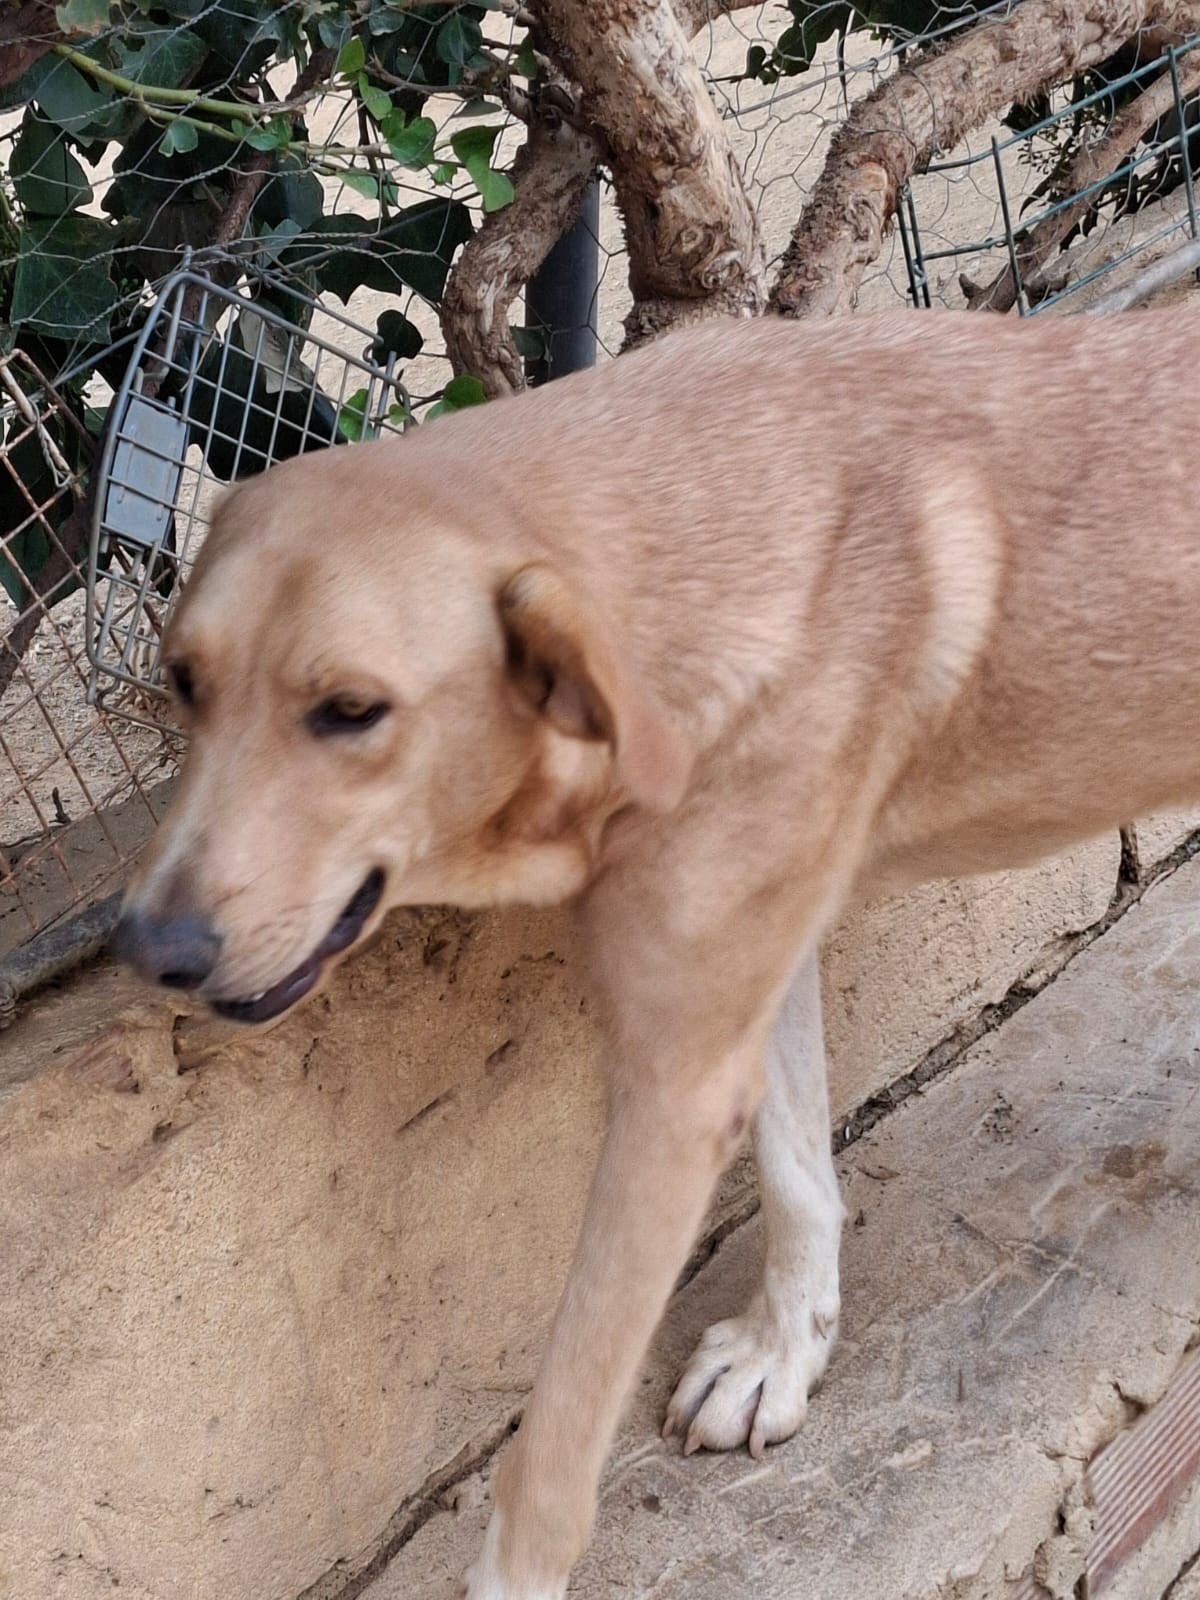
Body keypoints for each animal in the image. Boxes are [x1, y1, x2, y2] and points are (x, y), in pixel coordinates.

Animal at [113, 306, 1200, 1598]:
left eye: (352, 710)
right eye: (183, 682)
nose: (146, 947)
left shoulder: (670, 1089)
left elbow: (553, 1446)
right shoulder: (746, 972)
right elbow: (796, 1168)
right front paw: (784, 1352)